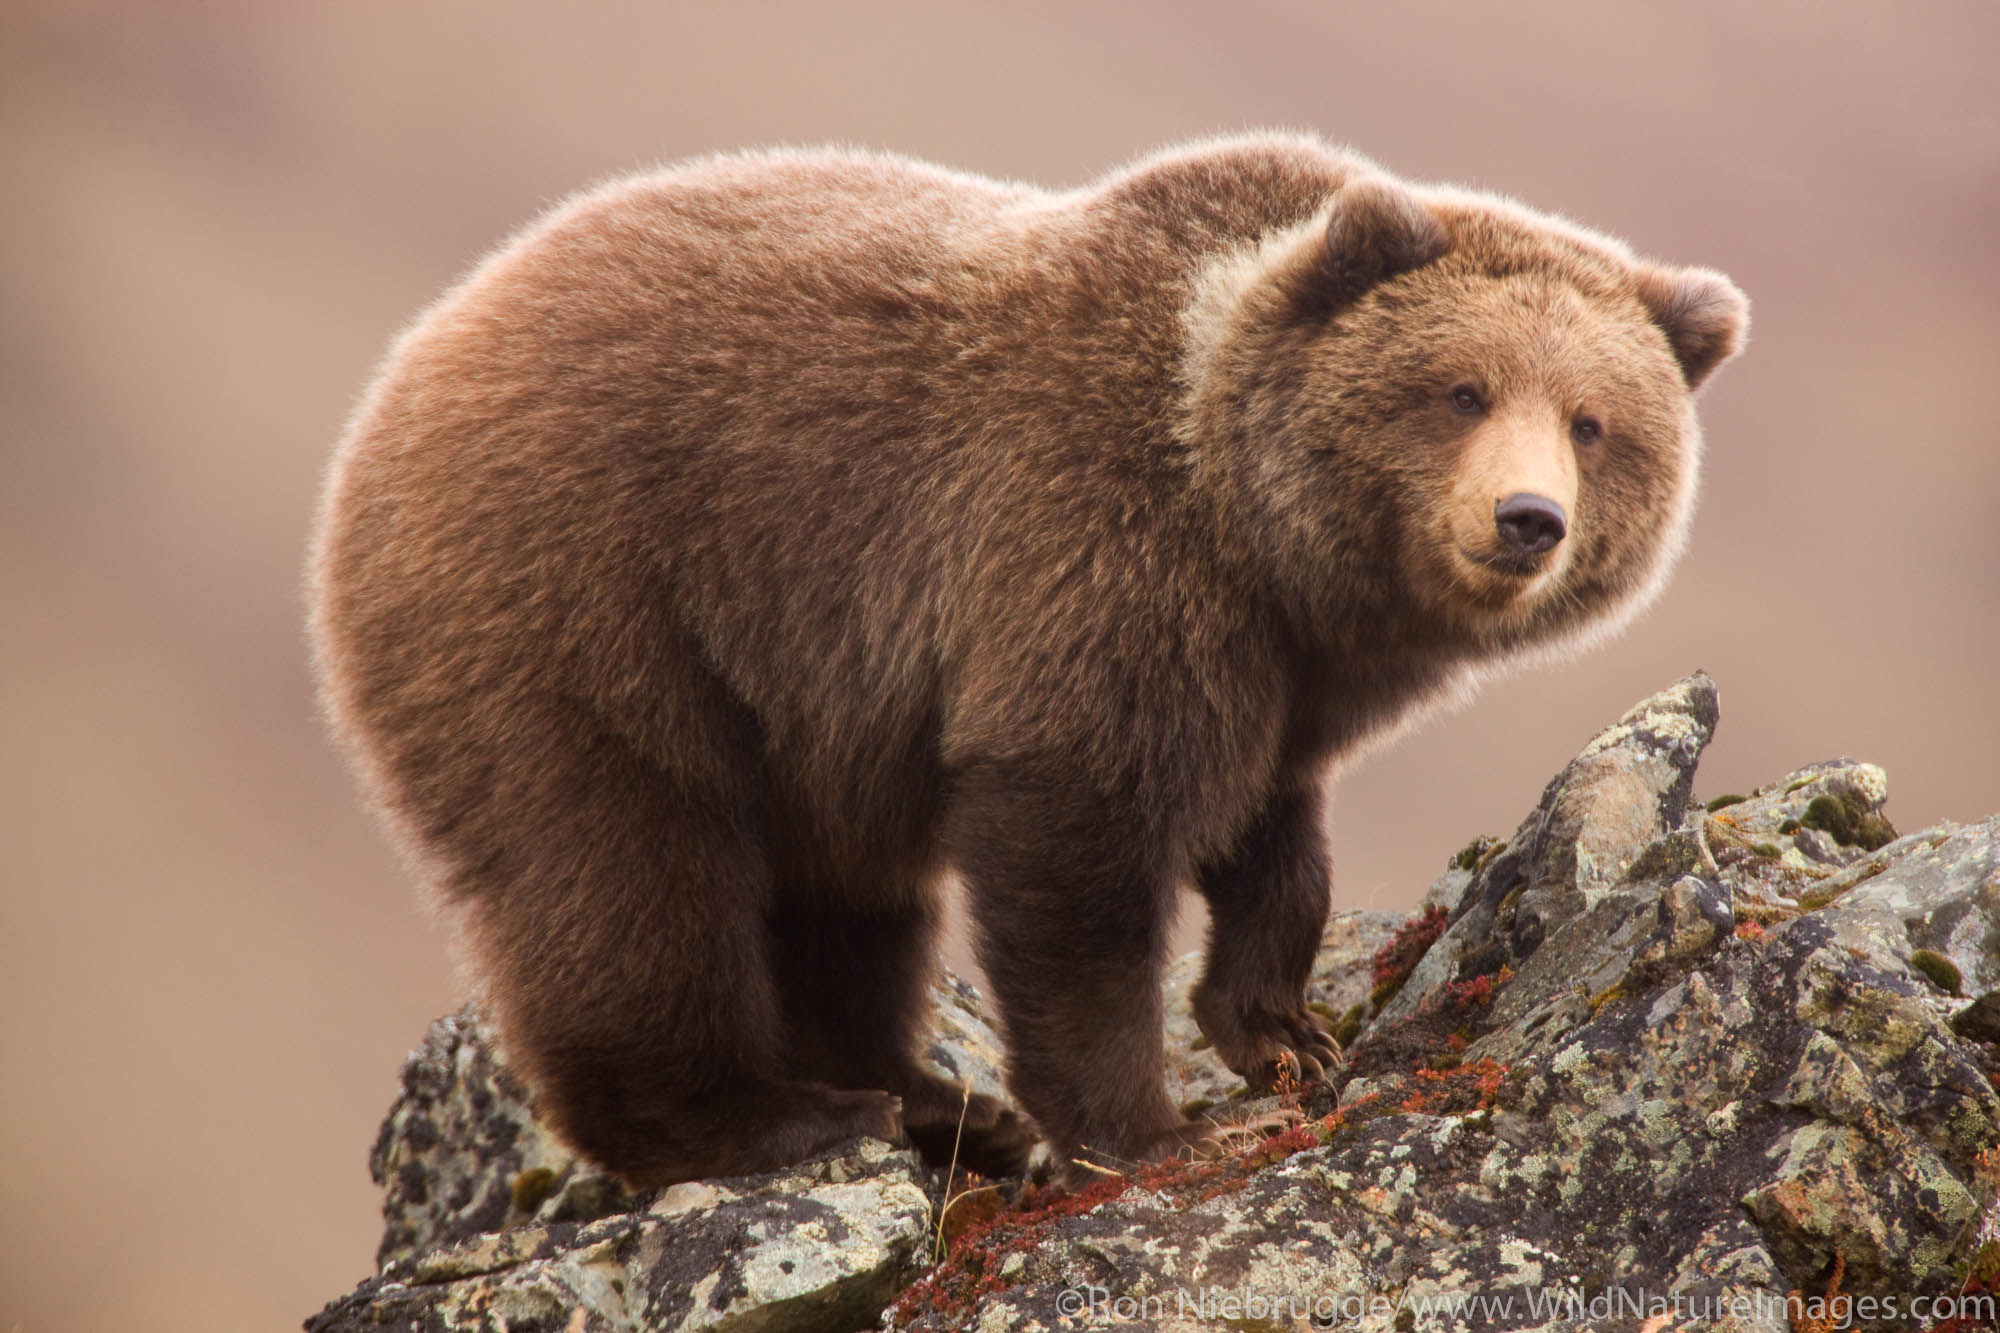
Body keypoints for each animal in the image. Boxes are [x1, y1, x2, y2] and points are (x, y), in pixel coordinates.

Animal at [304, 130, 1744, 1176]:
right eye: (1459, 390)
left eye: (1594, 420)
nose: (1527, 519)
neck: (1251, 527)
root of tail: (406, 366)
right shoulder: (1084, 553)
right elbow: (1077, 849)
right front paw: (1143, 1121)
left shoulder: (1270, 673)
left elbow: (1271, 836)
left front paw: (1281, 1027)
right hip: (582, 601)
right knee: (624, 872)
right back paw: (775, 1115)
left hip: (796, 704)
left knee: (842, 901)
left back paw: (934, 1102)